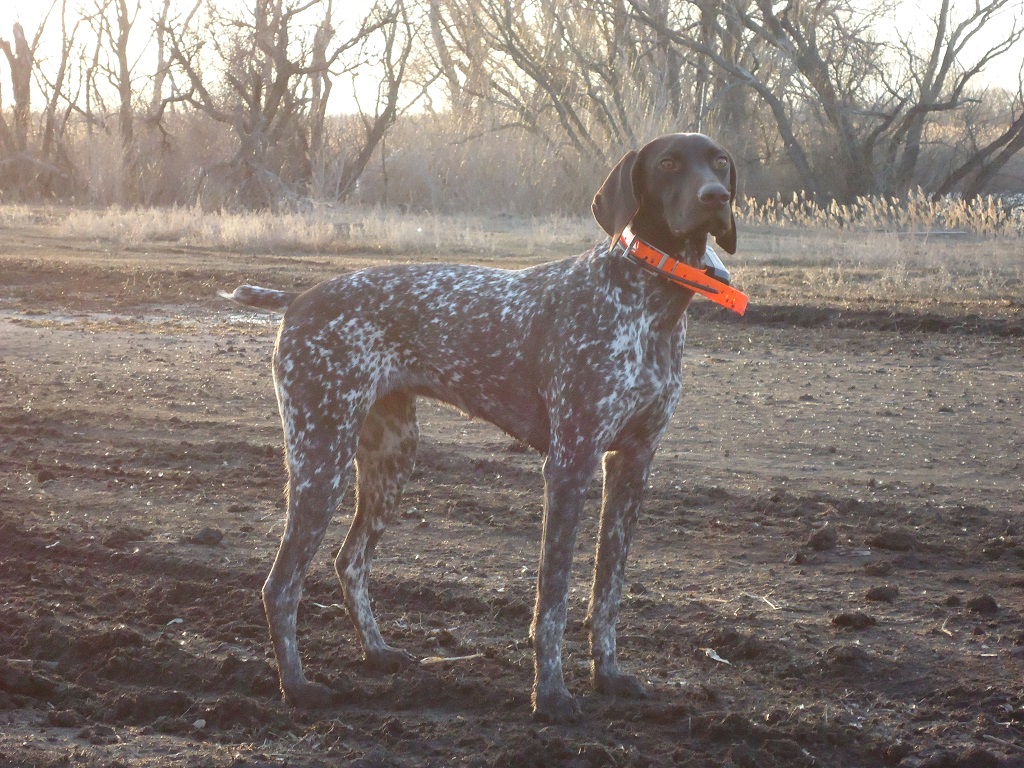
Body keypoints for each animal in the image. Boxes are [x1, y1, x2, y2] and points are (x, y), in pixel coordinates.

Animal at [222, 133, 738, 723]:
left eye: (721, 162)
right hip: (321, 461)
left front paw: (606, 676)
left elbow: (607, 592)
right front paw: (550, 696)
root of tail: (300, 298)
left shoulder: (632, 464)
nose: (716, 197)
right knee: (281, 586)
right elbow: (553, 601)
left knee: (349, 562)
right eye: (669, 163)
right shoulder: (570, 464)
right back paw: (298, 688)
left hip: (391, 462)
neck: (650, 304)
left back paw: (376, 652)